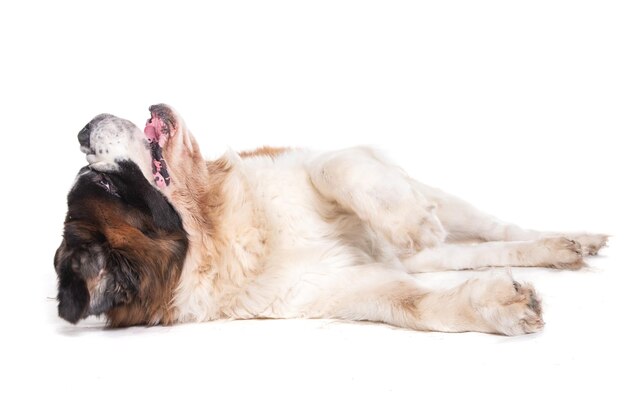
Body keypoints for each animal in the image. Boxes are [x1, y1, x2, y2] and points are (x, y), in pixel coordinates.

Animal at [62, 103, 604, 334]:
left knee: (501, 230)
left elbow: (334, 166)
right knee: (470, 252)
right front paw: (497, 305)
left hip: (444, 201)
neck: (224, 231)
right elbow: (419, 307)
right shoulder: (350, 289)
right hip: (423, 258)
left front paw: (409, 220)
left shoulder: (315, 160)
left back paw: (570, 241)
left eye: (100, 181)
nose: (83, 130)